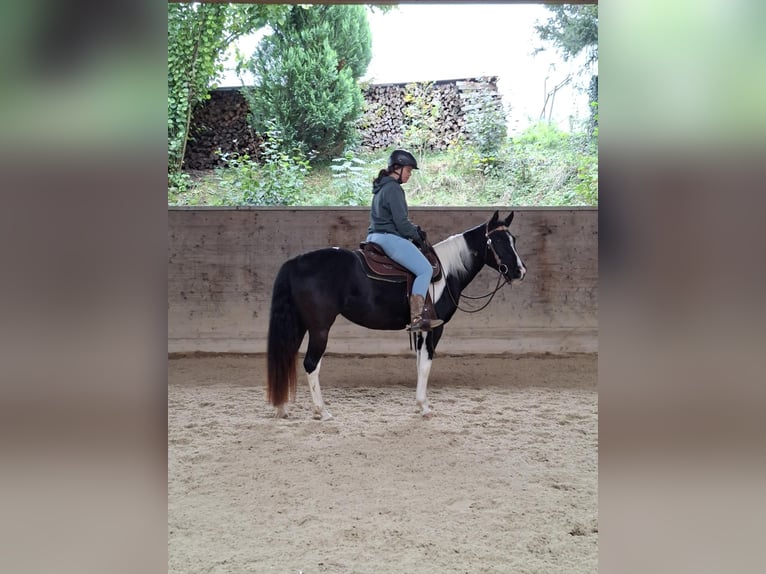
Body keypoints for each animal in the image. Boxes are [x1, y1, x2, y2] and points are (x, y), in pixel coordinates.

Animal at [266, 210, 526, 419]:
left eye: (513, 239)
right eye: (498, 240)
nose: (519, 271)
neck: (446, 271)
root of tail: (296, 261)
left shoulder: (421, 329)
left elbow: (420, 364)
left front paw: (419, 404)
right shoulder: (434, 328)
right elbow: (426, 365)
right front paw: (424, 407)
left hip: (299, 325)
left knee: (287, 357)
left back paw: (282, 408)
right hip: (320, 328)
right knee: (311, 364)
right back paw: (322, 411)